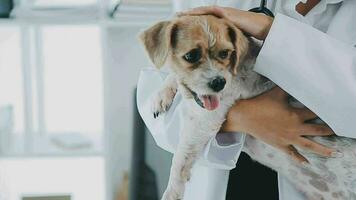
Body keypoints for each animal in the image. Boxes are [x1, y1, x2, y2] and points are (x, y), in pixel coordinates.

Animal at [138, 14, 356, 199]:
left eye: (225, 53)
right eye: (191, 55)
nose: (219, 83)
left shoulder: (203, 121)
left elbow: (180, 160)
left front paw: (172, 192)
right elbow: (172, 76)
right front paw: (161, 96)